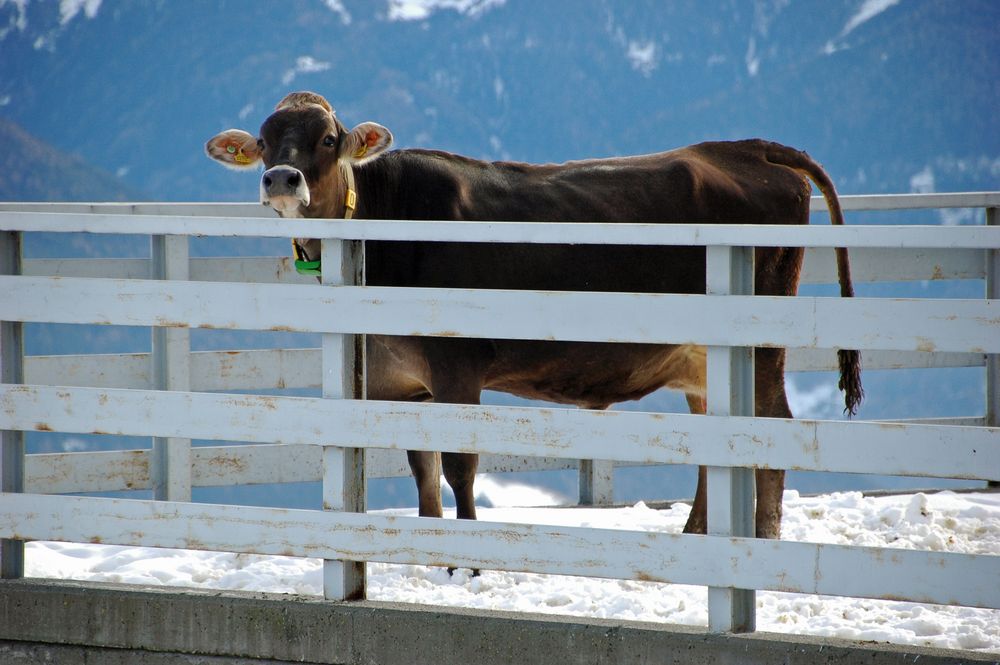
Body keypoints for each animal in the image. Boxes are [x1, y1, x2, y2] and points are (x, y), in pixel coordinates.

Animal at [205, 91, 860, 540]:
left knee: (771, 427)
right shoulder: (398, 381)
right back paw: (700, 535)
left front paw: (464, 562)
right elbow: (422, 470)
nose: (281, 178)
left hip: (762, 343)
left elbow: (459, 466)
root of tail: (747, 148)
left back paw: (763, 540)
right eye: (263, 140)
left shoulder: (457, 364)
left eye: (328, 138)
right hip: (703, 357)